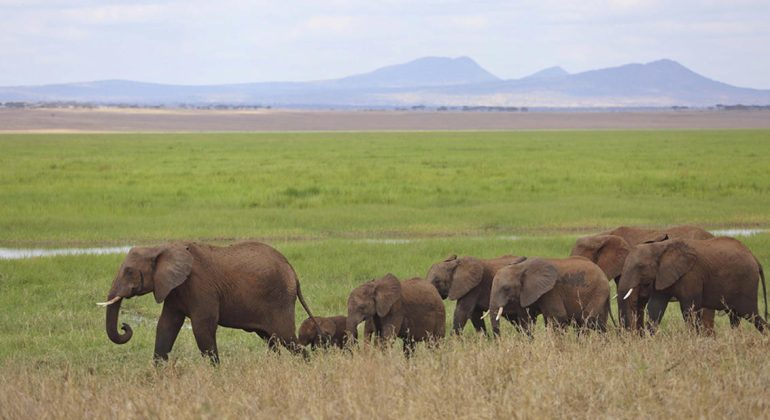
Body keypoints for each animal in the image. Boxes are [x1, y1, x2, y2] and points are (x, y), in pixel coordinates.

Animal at [97, 241, 319, 363]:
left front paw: (216, 375)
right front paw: (157, 376)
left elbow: (202, 328)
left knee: (286, 339)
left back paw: (306, 369)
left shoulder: (200, 286)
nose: (124, 326)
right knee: (272, 340)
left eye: (129, 271)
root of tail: (293, 273)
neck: (161, 248)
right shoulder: (173, 289)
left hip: (279, 300)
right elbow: (166, 326)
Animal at [617, 237, 768, 334]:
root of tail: (755, 258)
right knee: (735, 316)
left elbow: (689, 309)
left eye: (640, 266)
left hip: (747, 283)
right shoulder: (662, 275)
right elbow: (655, 307)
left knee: (750, 314)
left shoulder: (691, 274)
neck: (660, 247)